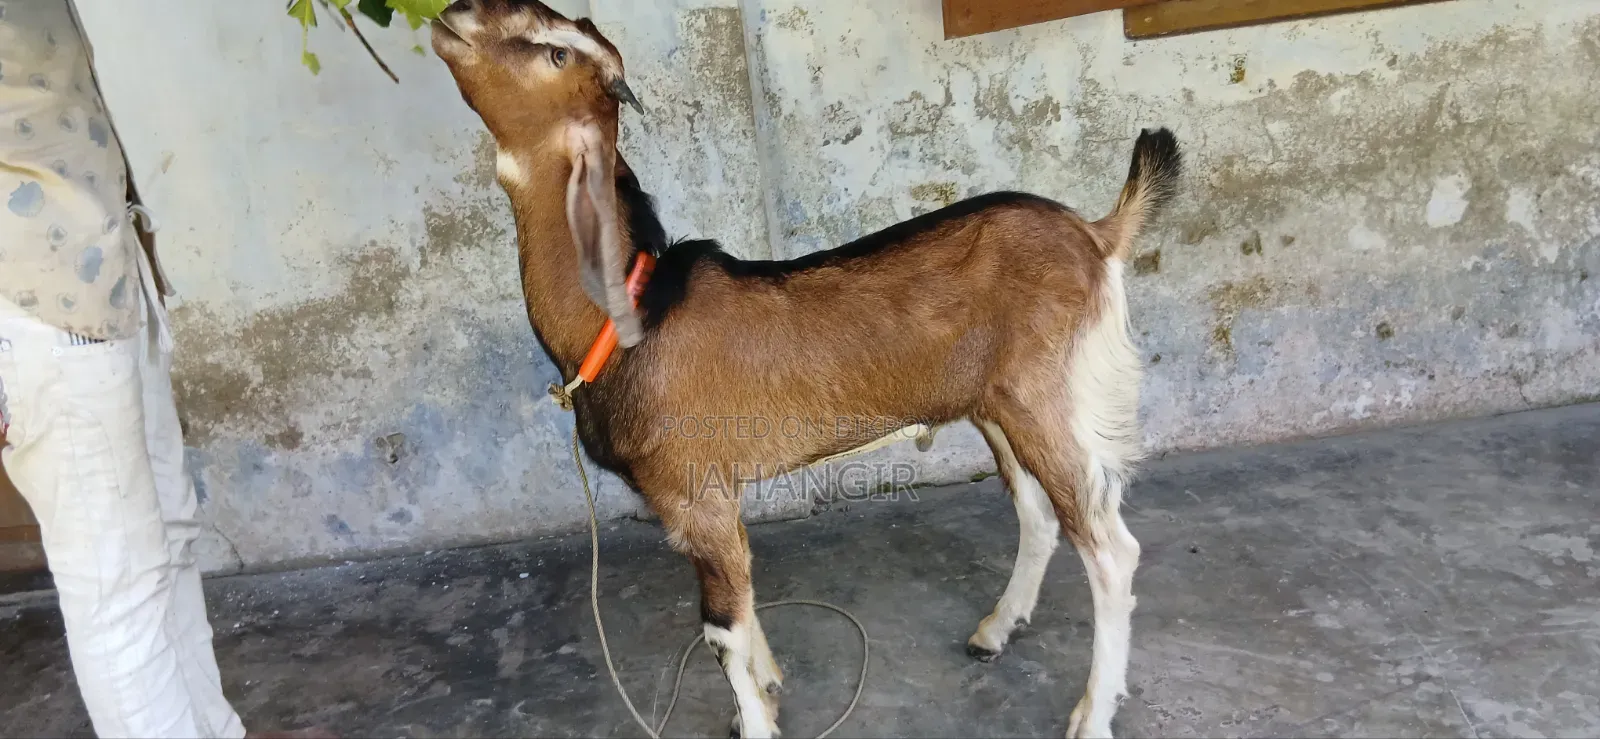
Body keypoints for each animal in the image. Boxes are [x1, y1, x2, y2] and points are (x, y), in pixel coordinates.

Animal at [430, 2, 1182, 737]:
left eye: (555, 51)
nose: (451, 15)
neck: (631, 316)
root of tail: (1097, 235)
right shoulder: (717, 496)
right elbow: (743, 597)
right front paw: (767, 687)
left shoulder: (693, 491)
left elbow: (719, 629)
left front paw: (756, 717)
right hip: (995, 404)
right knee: (1038, 513)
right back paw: (995, 631)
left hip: (1053, 398)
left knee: (1109, 549)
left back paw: (1090, 715)